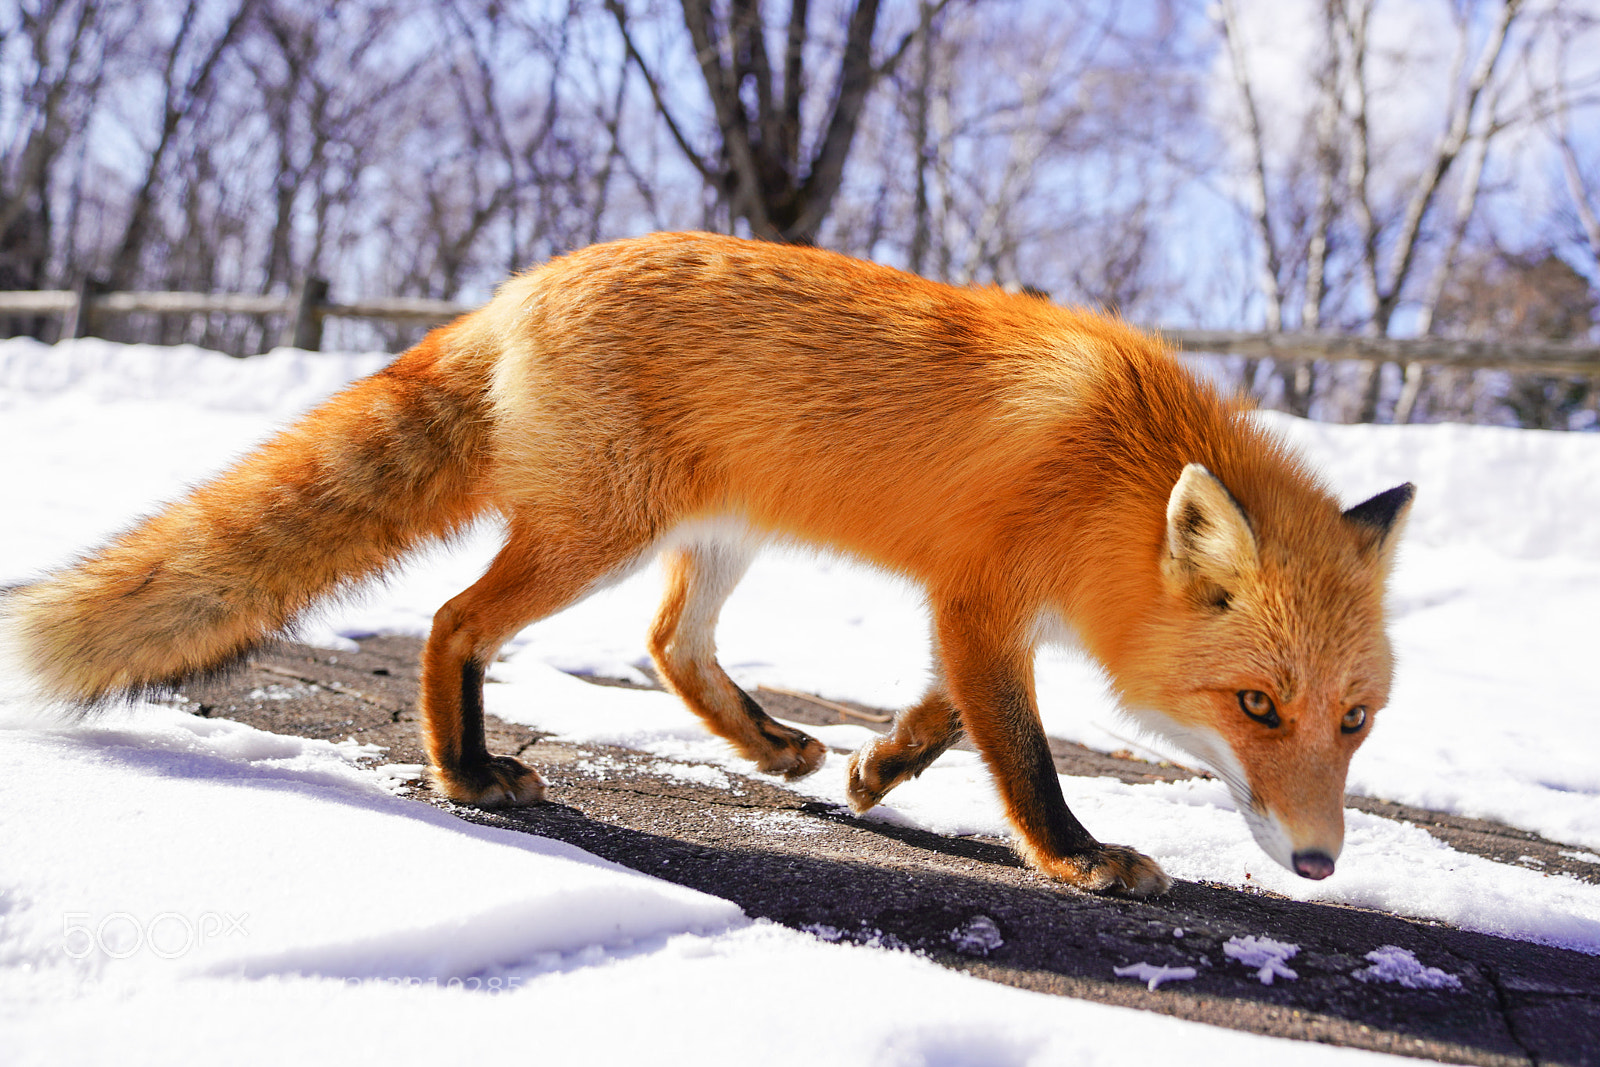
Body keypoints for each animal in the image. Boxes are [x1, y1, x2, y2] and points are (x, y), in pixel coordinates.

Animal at [4, 232, 1413, 896]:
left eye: (1353, 720)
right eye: (1256, 705)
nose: (1318, 863)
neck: (1113, 464)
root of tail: (520, 285)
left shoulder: (983, 610)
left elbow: (943, 719)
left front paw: (874, 769)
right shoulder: (977, 596)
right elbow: (1020, 754)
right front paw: (1075, 857)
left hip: (710, 536)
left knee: (667, 644)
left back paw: (772, 744)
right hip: (595, 536)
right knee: (456, 620)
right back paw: (466, 771)